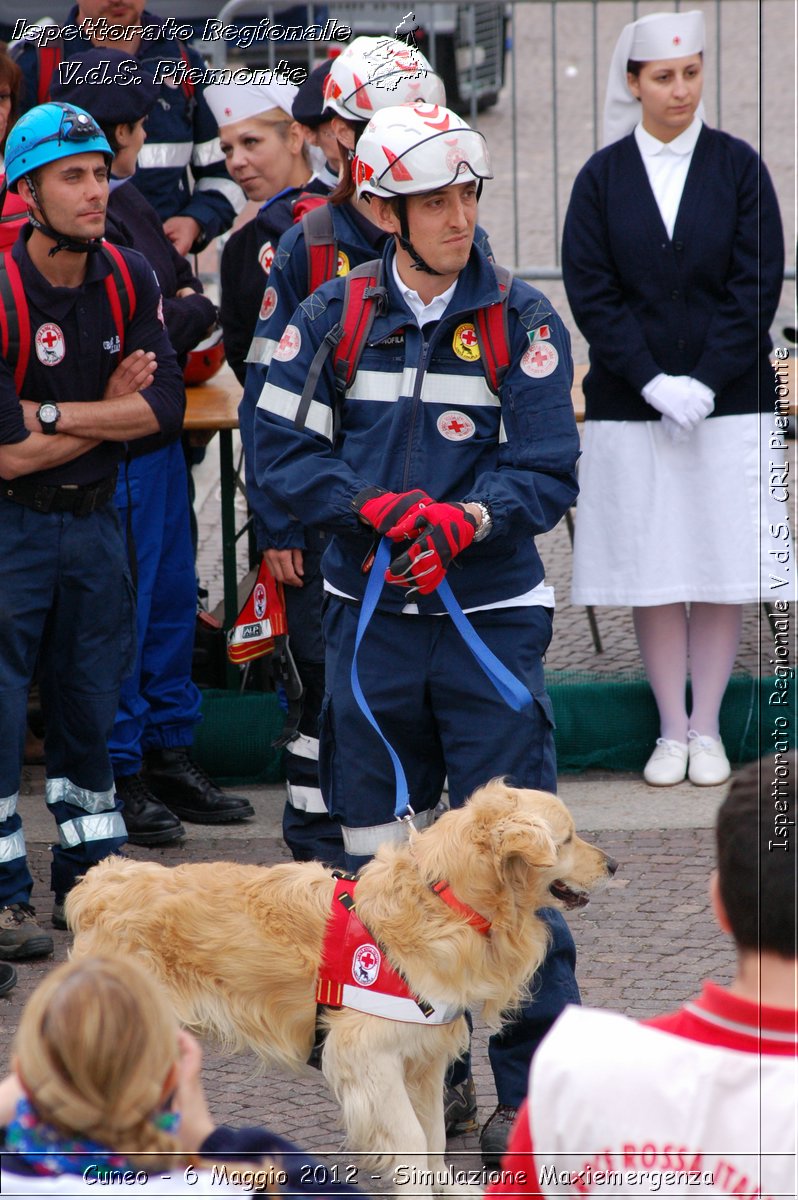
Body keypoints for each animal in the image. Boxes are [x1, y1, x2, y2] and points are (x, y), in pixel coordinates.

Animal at [68, 777, 614, 1190]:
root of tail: (100, 883)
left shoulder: (423, 1061)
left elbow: (434, 1143)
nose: (612, 864)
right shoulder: (368, 1058)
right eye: (567, 839)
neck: (445, 903)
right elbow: (411, 1143)